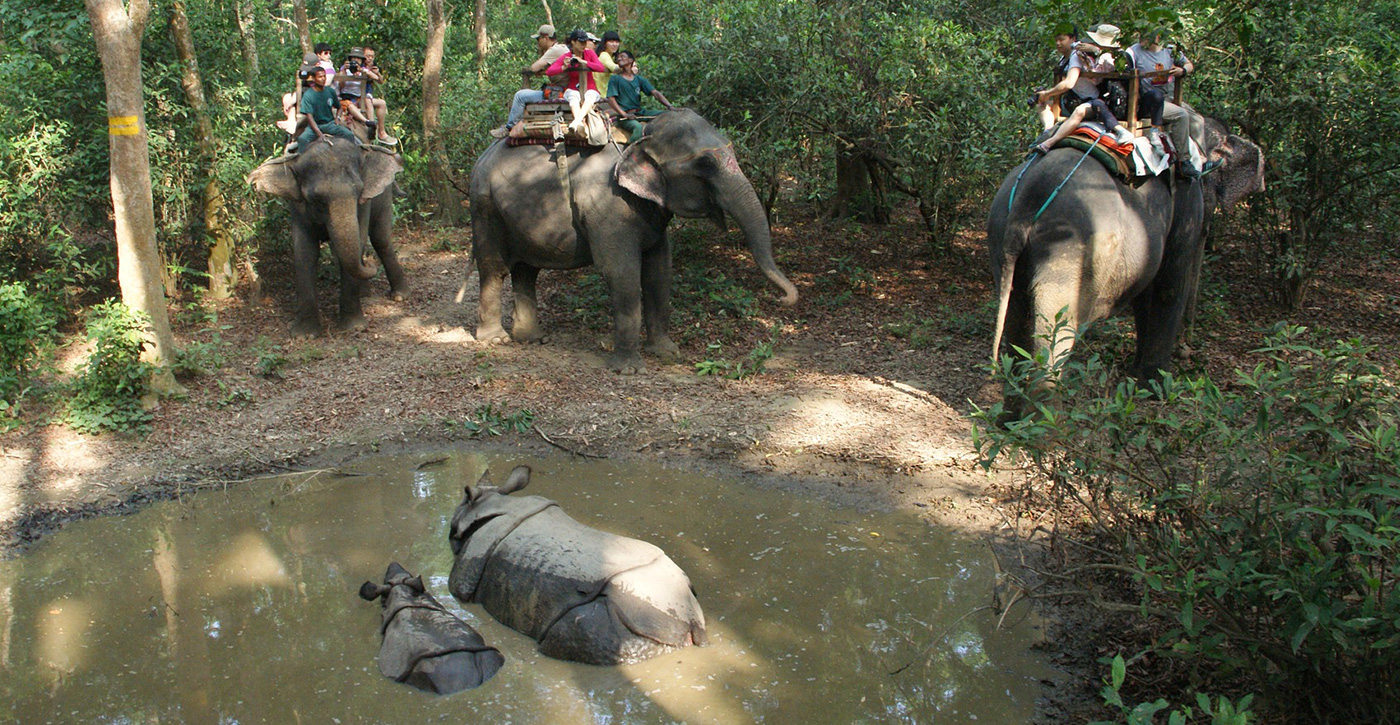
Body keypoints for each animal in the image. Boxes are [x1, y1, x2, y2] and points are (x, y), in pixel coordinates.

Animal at [249, 139, 408, 338]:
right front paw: (304, 335)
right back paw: (364, 292)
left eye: (359, 191)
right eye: (316, 198)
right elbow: (305, 252)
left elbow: (360, 238)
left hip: (384, 194)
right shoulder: (297, 206)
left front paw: (354, 327)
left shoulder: (365, 201)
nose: (371, 264)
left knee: (380, 239)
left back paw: (399, 295)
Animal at [450, 470, 711, 669]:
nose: (450, 531)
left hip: (631, 613)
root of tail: (691, 622)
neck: (495, 503)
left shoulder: (468, 568)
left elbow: (459, 586)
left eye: (453, 525)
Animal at [467, 107, 795, 375]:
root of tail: (482, 156)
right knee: (494, 268)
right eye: (704, 164)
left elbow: (660, 270)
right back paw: (496, 340)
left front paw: (667, 353)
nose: (782, 299)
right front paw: (630, 370)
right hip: (485, 207)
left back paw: (533, 339)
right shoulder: (607, 202)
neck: (642, 135)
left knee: (527, 270)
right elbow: (621, 271)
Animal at [985, 120, 1271, 403]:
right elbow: (1169, 287)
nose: (1186, 349)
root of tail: (1026, 202)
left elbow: (1146, 296)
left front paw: (1137, 375)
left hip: (1001, 232)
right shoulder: (1187, 201)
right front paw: (1155, 388)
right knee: (1057, 329)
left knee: (1017, 317)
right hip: (1069, 247)